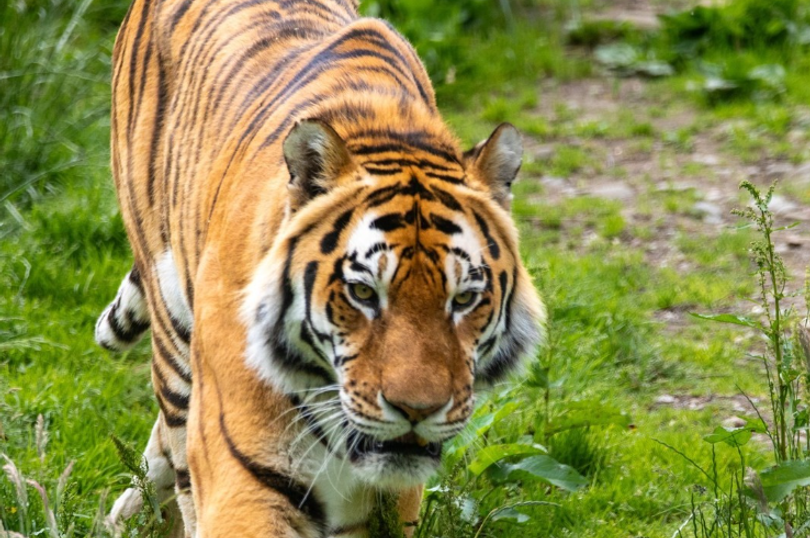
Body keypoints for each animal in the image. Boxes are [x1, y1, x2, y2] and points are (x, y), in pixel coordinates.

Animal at [95, 0, 546, 536]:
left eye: (464, 299)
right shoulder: (246, 478)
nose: (417, 411)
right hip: (172, 330)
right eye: (364, 293)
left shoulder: (393, 498)